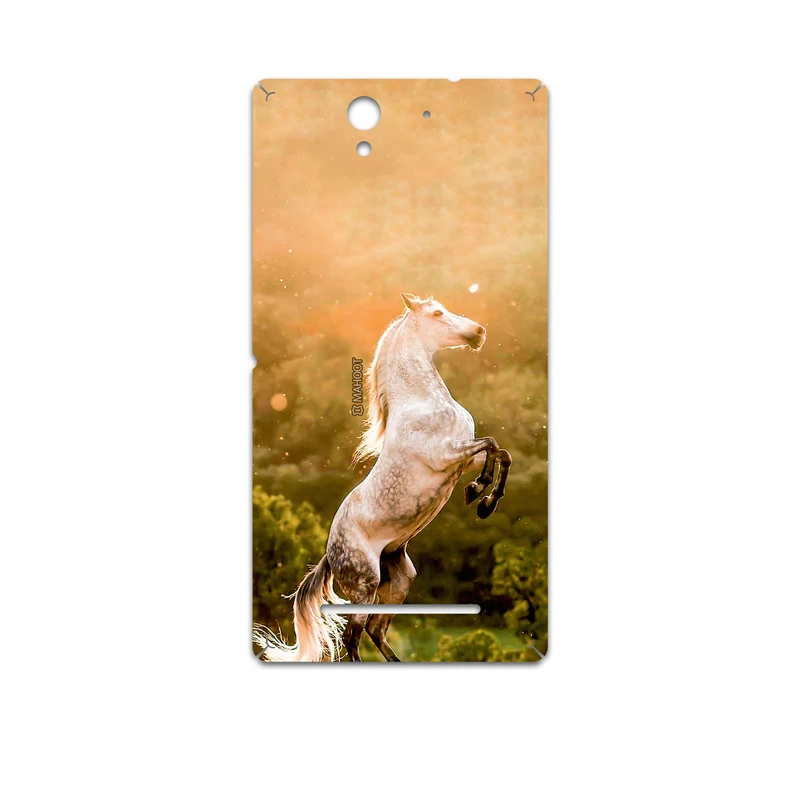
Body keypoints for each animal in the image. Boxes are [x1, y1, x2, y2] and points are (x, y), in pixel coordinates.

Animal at [254, 293, 512, 662]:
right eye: (438, 313)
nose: (479, 332)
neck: (423, 402)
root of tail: (329, 554)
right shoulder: (446, 455)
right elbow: (492, 444)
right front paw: (476, 493)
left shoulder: (463, 457)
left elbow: (501, 453)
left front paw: (485, 501)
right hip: (366, 584)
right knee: (352, 637)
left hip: (400, 578)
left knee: (375, 630)